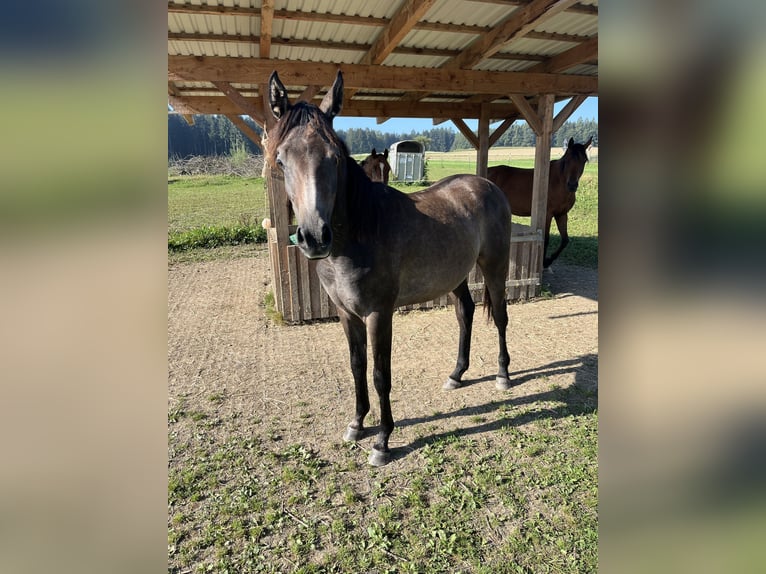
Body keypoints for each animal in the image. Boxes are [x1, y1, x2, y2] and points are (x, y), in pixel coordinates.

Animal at [268, 71, 512, 468]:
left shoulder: (379, 314)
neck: (359, 233)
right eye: (281, 159)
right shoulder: (346, 314)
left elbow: (381, 373)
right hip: (456, 276)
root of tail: (487, 185)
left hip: (495, 266)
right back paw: (456, 374)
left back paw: (504, 374)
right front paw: (356, 424)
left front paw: (382, 441)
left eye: (335, 158)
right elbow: (357, 366)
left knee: (501, 316)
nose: (315, 237)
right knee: (466, 312)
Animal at [486, 136, 592, 268]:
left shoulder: (561, 214)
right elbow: (545, 239)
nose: (572, 185)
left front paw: (548, 261)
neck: (558, 181)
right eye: (567, 160)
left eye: (584, 161)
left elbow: (565, 240)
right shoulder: (547, 215)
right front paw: (543, 262)